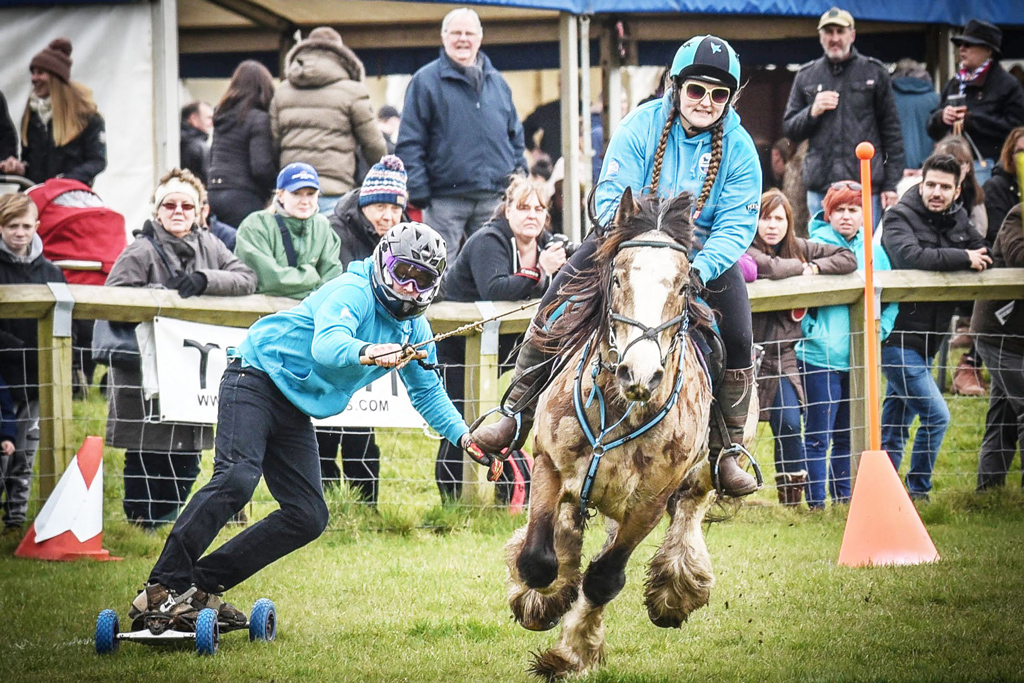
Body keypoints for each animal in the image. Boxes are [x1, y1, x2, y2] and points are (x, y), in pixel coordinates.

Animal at [503, 187, 737, 679]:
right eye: (617, 278)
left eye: (684, 286)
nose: (640, 373)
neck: (619, 409)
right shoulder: (548, 465)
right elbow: (537, 560)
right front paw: (540, 600)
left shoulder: (648, 505)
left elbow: (604, 578)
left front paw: (572, 652)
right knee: (568, 523)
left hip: (701, 476)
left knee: (691, 510)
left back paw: (676, 589)